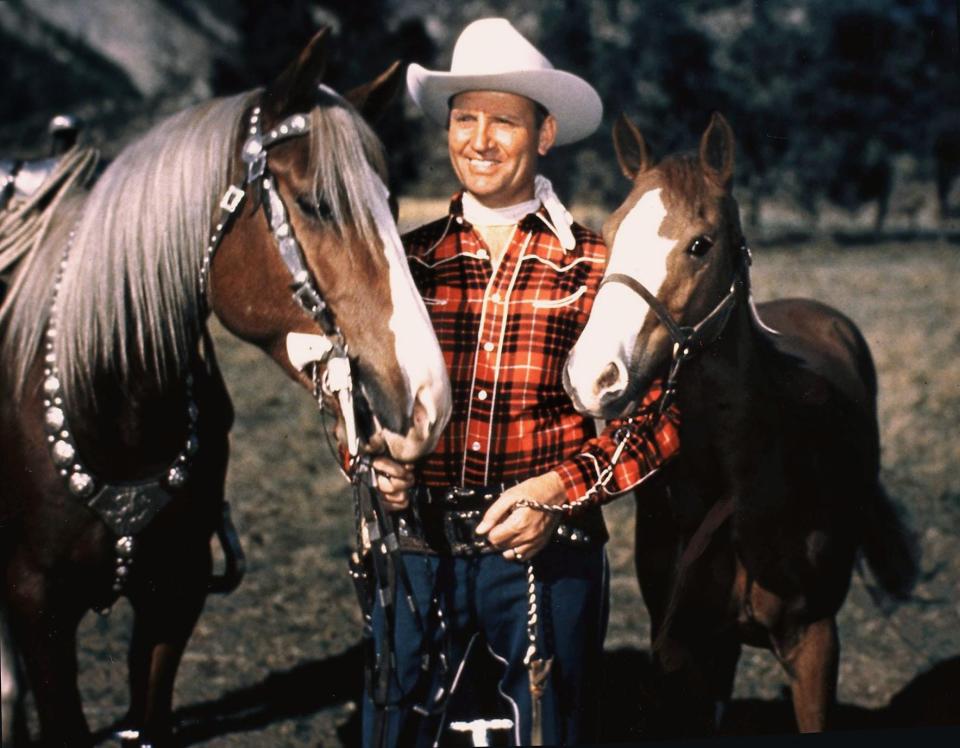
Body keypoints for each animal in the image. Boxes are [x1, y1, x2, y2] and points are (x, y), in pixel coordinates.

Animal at [0, 30, 450, 748]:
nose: (428, 399)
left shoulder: (174, 597)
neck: (111, 405)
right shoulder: (37, 606)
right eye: (319, 204)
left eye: (393, 205)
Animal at [568, 114, 920, 732]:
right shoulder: (695, 651)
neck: (739, 484)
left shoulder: (815, 644)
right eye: (609, 235)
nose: (592, 377)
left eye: (700, 245)